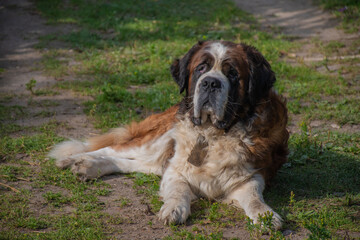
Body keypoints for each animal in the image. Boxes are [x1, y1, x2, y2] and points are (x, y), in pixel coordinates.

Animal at [49, 40, 288, 229]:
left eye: (233, 74)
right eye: (201, 68)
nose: (211, 82)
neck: (212, 134)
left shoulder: (251, 175)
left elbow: (254, 196)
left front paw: (265, 215)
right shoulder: (177, 168)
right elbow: (178, 189)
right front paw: (174, 209)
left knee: (130, 162)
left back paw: (88, 167)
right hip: (158, 140)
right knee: (111, 149)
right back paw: (73, 160)